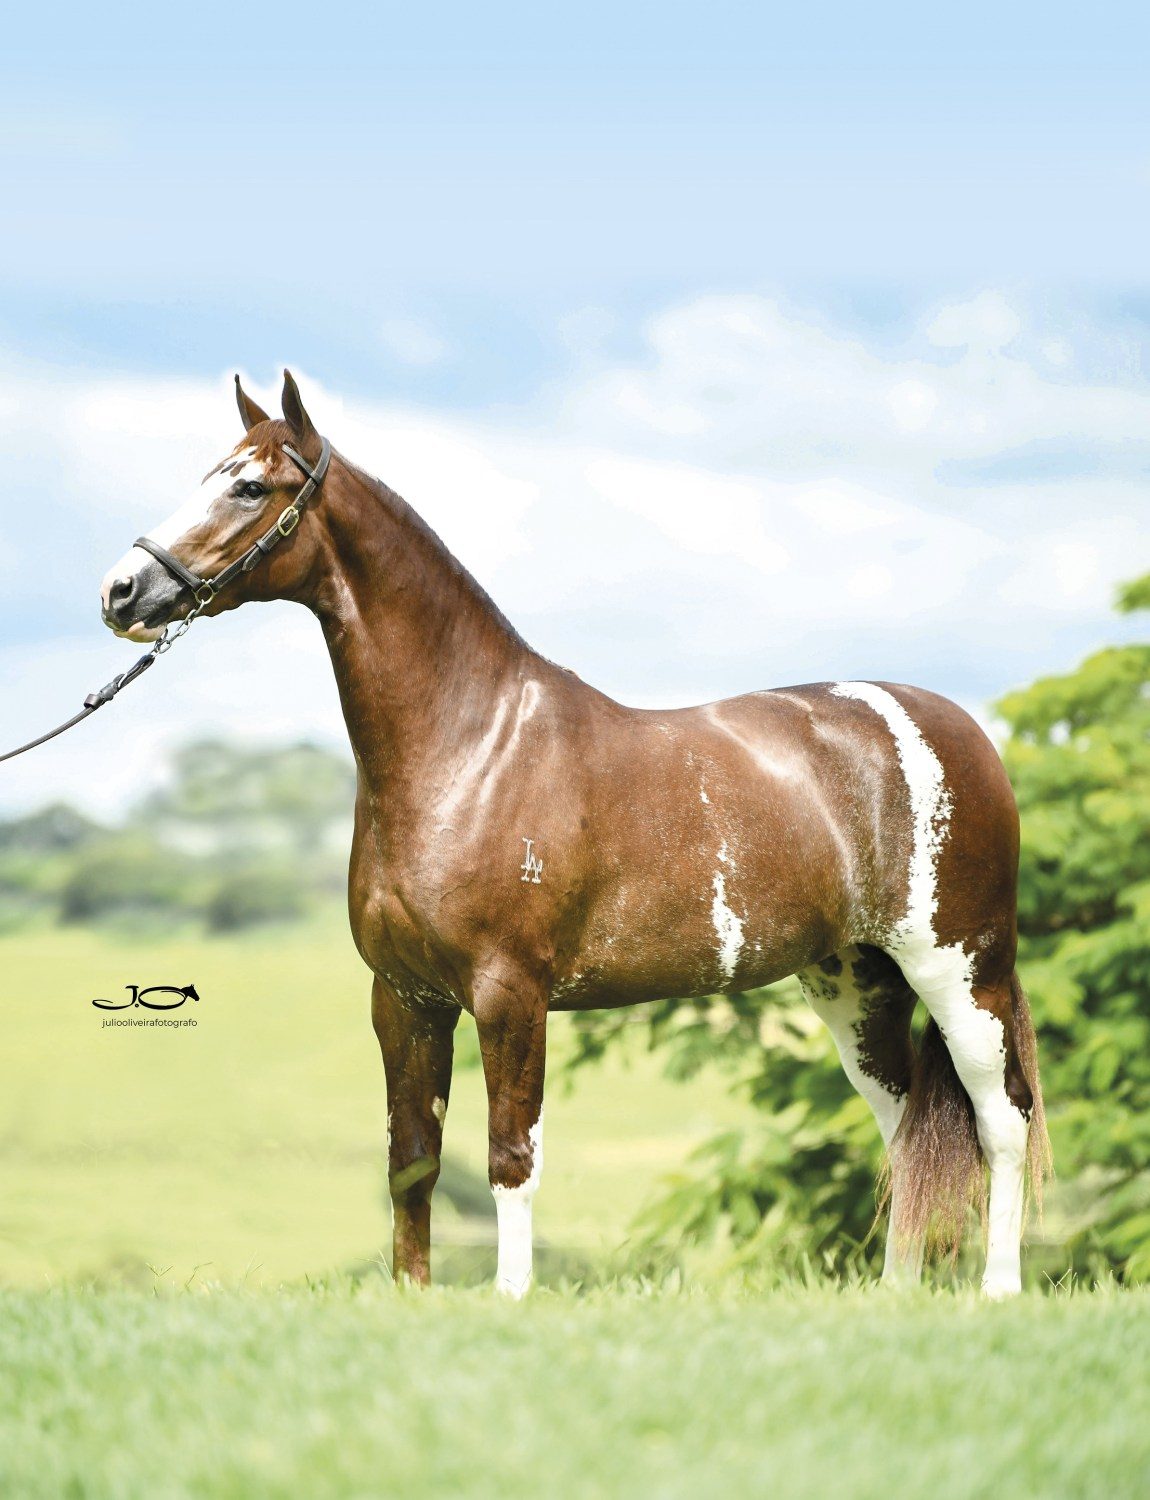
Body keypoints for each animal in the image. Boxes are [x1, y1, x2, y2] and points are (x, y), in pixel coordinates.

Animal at [101, 369, 1055, 1296]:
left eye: (249, 486)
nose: (121, 591)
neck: (471, 745)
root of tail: (955, 729)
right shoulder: (404, 998)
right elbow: (413, 1162)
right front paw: (412, 1299)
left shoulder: (509, 994)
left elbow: (510, 1157)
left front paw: (511, 1300)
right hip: (857, 981)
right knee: (907, 1129)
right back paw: (896, 1293)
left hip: (961, 970)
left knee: (1001, 1121)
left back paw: (999, 1290)